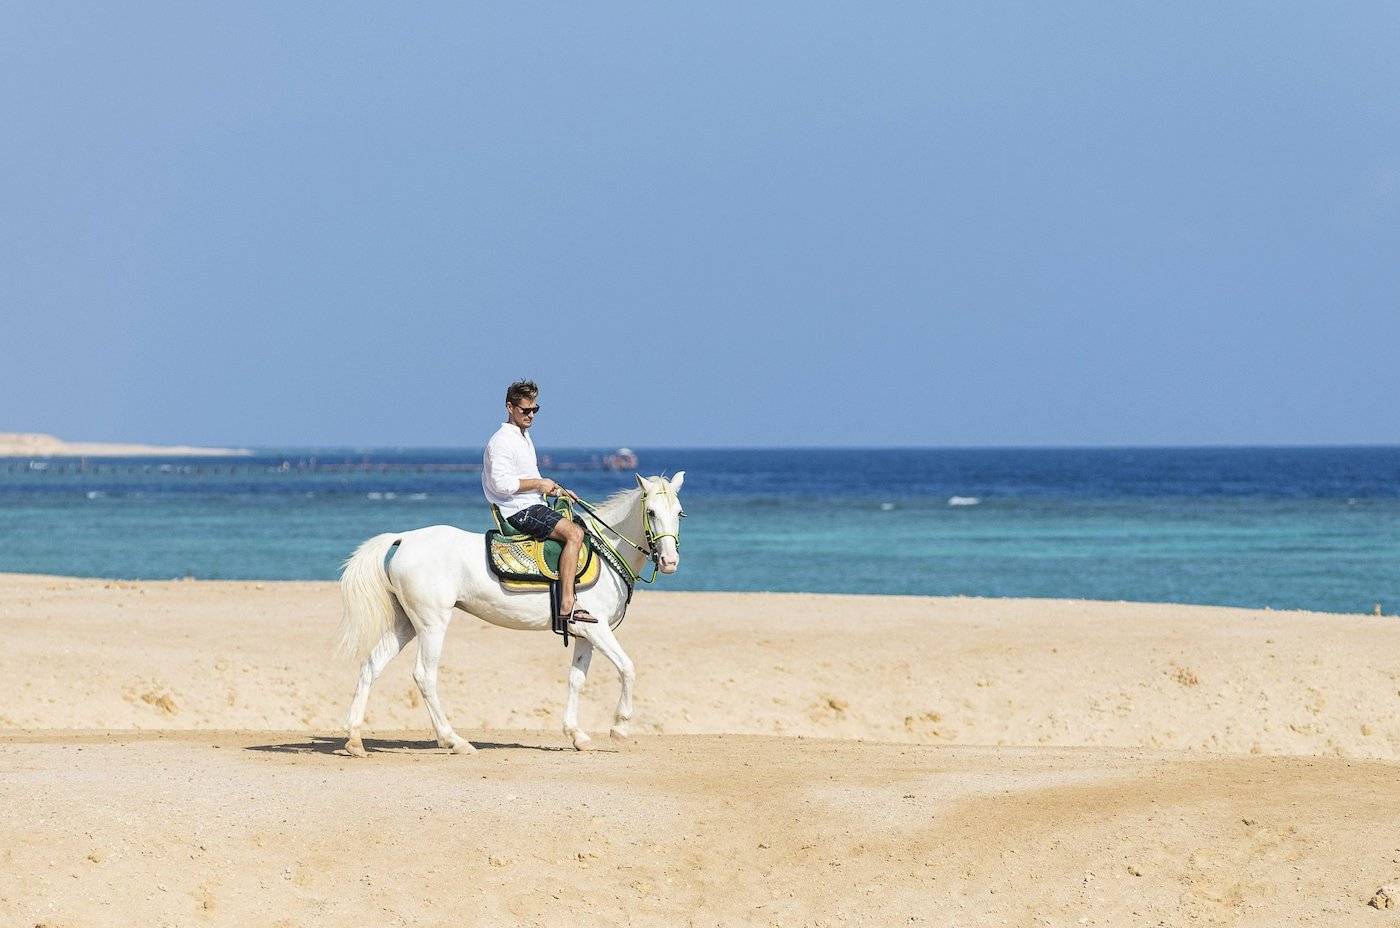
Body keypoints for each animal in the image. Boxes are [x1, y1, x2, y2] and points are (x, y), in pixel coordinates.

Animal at [335, 471, 685, 755]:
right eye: (651, 512)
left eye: (679, 512)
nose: (669, 562)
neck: (607, 550)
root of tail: (404, 538)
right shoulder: (598, 630)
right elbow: (628, 668)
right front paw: (620, 727)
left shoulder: (585, 632)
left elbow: (576, 680)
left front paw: (577, 735)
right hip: (432, 624)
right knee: (424, 676)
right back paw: (454, 740)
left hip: (405, 623)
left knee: (371, 666)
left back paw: (354, 739)